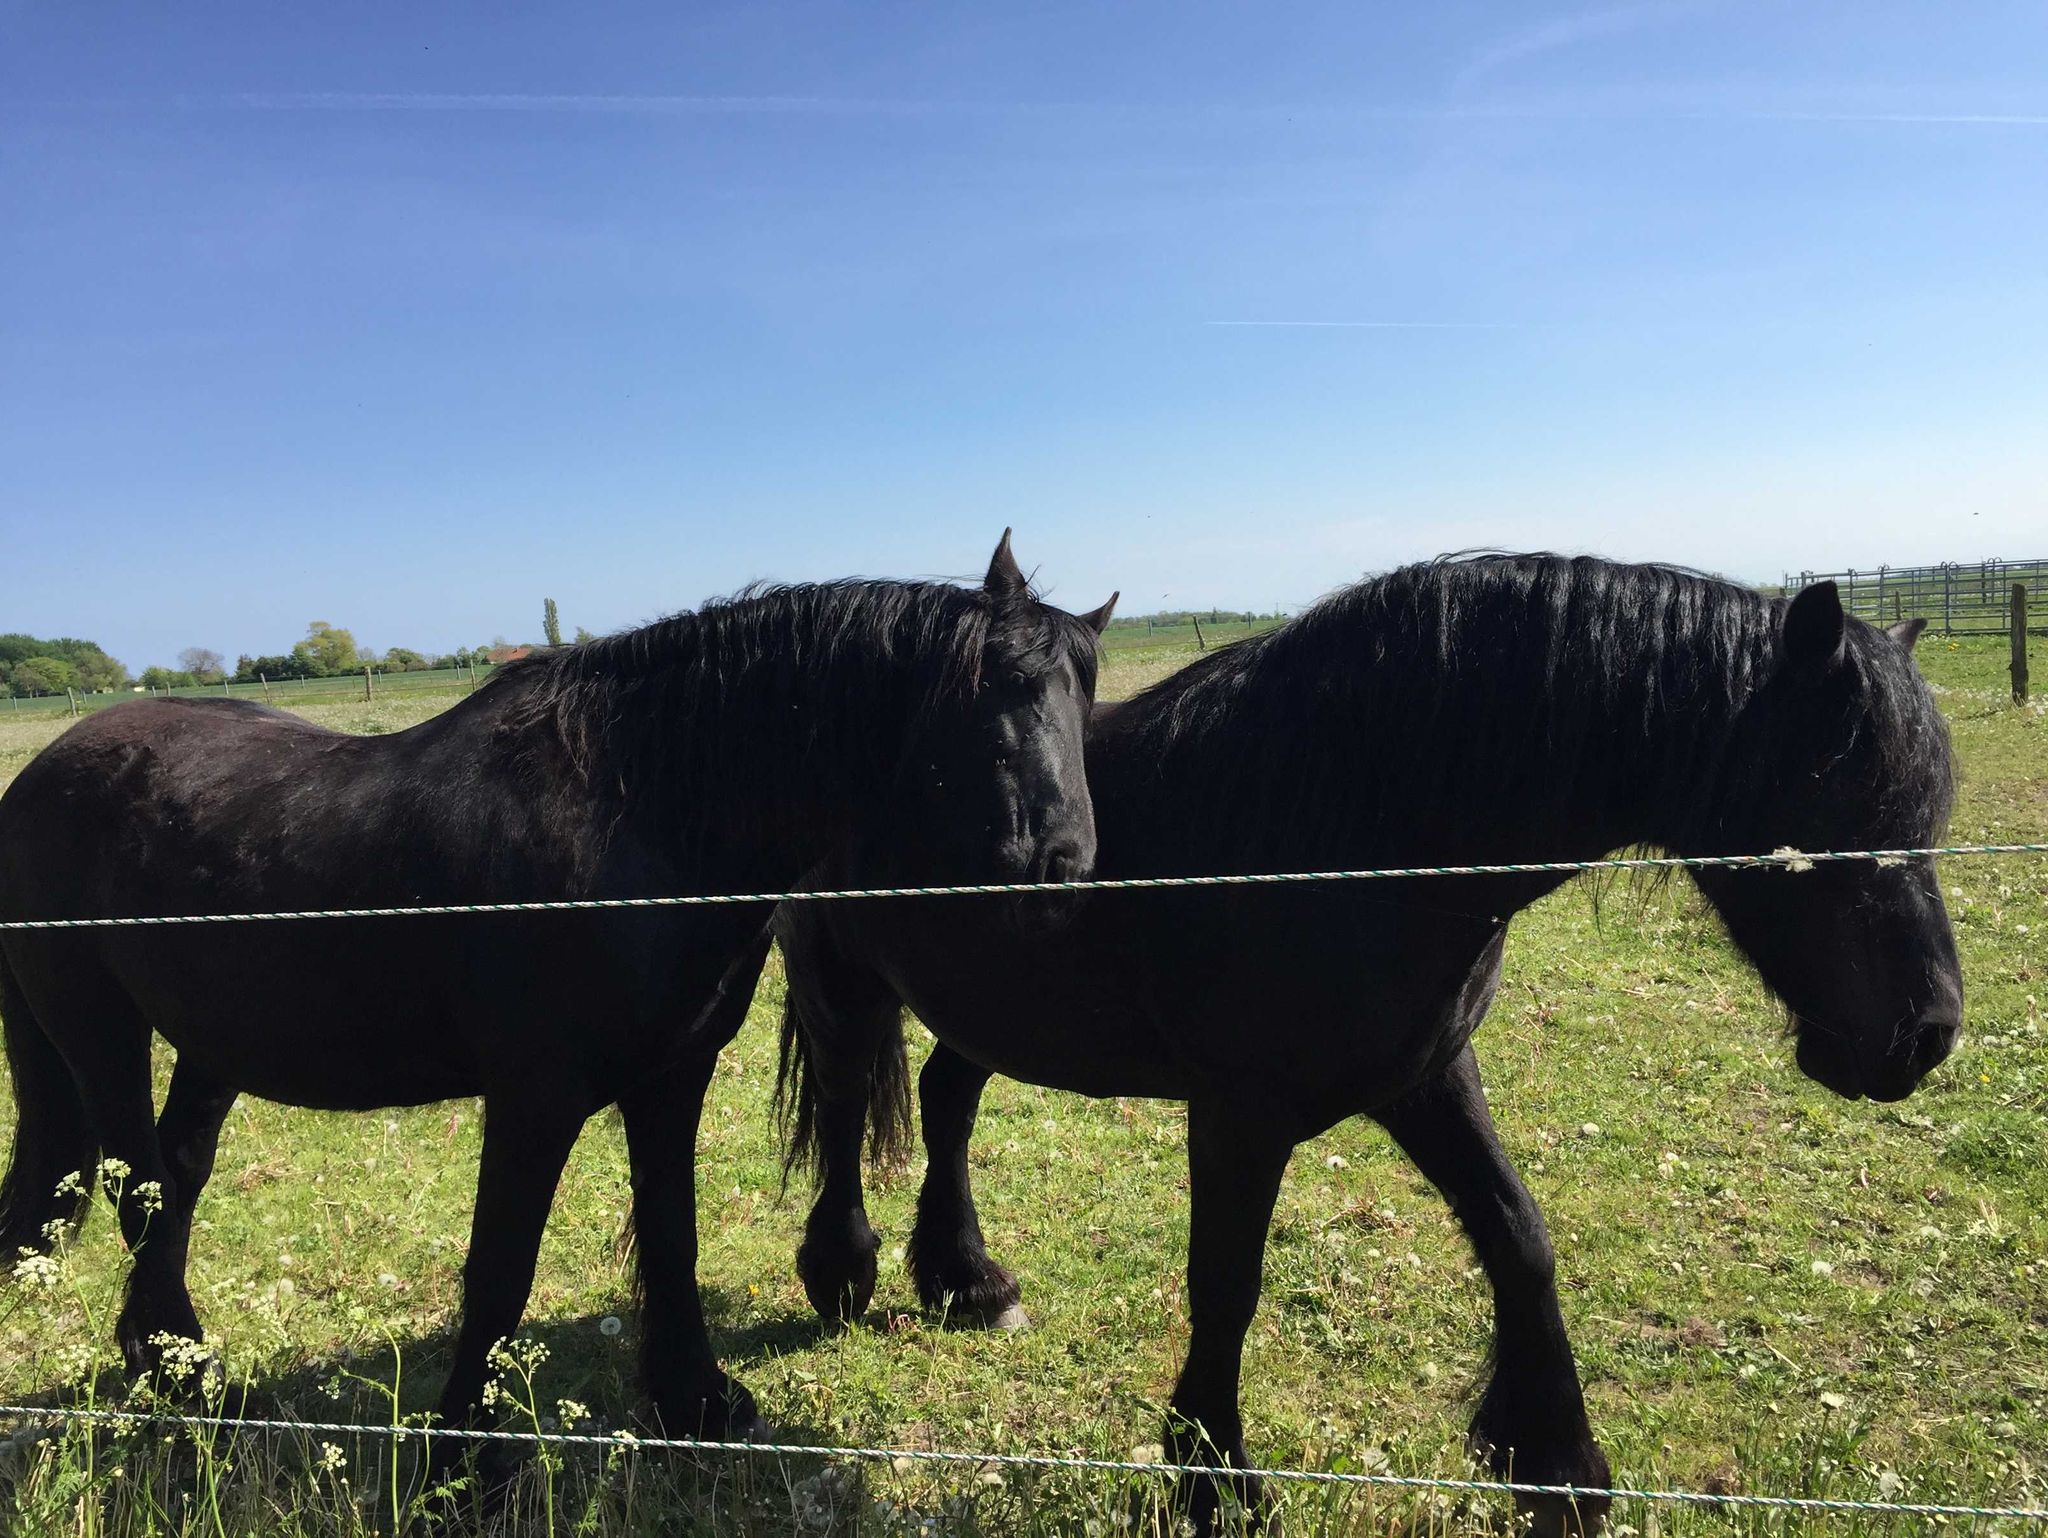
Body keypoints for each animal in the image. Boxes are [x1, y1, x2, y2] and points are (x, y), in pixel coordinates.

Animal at [4, 536, 1122, 1458]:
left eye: (1083, 706)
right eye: (994, 696)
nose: (1062, 872)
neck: (632, 816)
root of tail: (37, 777)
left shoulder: (673, 1074)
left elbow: (669, 1233)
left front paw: (697, 1401)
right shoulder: (533, 1097)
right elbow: (500, 1265)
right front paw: (468, 1451)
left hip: (212, 1041)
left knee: (177, 1175)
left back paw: (169, 1359)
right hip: (97, 1027)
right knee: (137, 1181)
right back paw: (188, 1376)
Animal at [774, 557, 1957, 1538]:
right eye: (1840, 796)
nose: (1925, 1036)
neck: (1349, 833)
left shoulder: (1428, 1076)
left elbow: (1519, 1236)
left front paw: (1557, 1463)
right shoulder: (1239, 1115)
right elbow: (1225, 1285)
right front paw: (1212, 1482)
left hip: (987, 1005)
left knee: (946, 1099)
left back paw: (966, 1280)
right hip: (840, 977)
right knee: (845, 1101)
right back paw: (843, 1271)